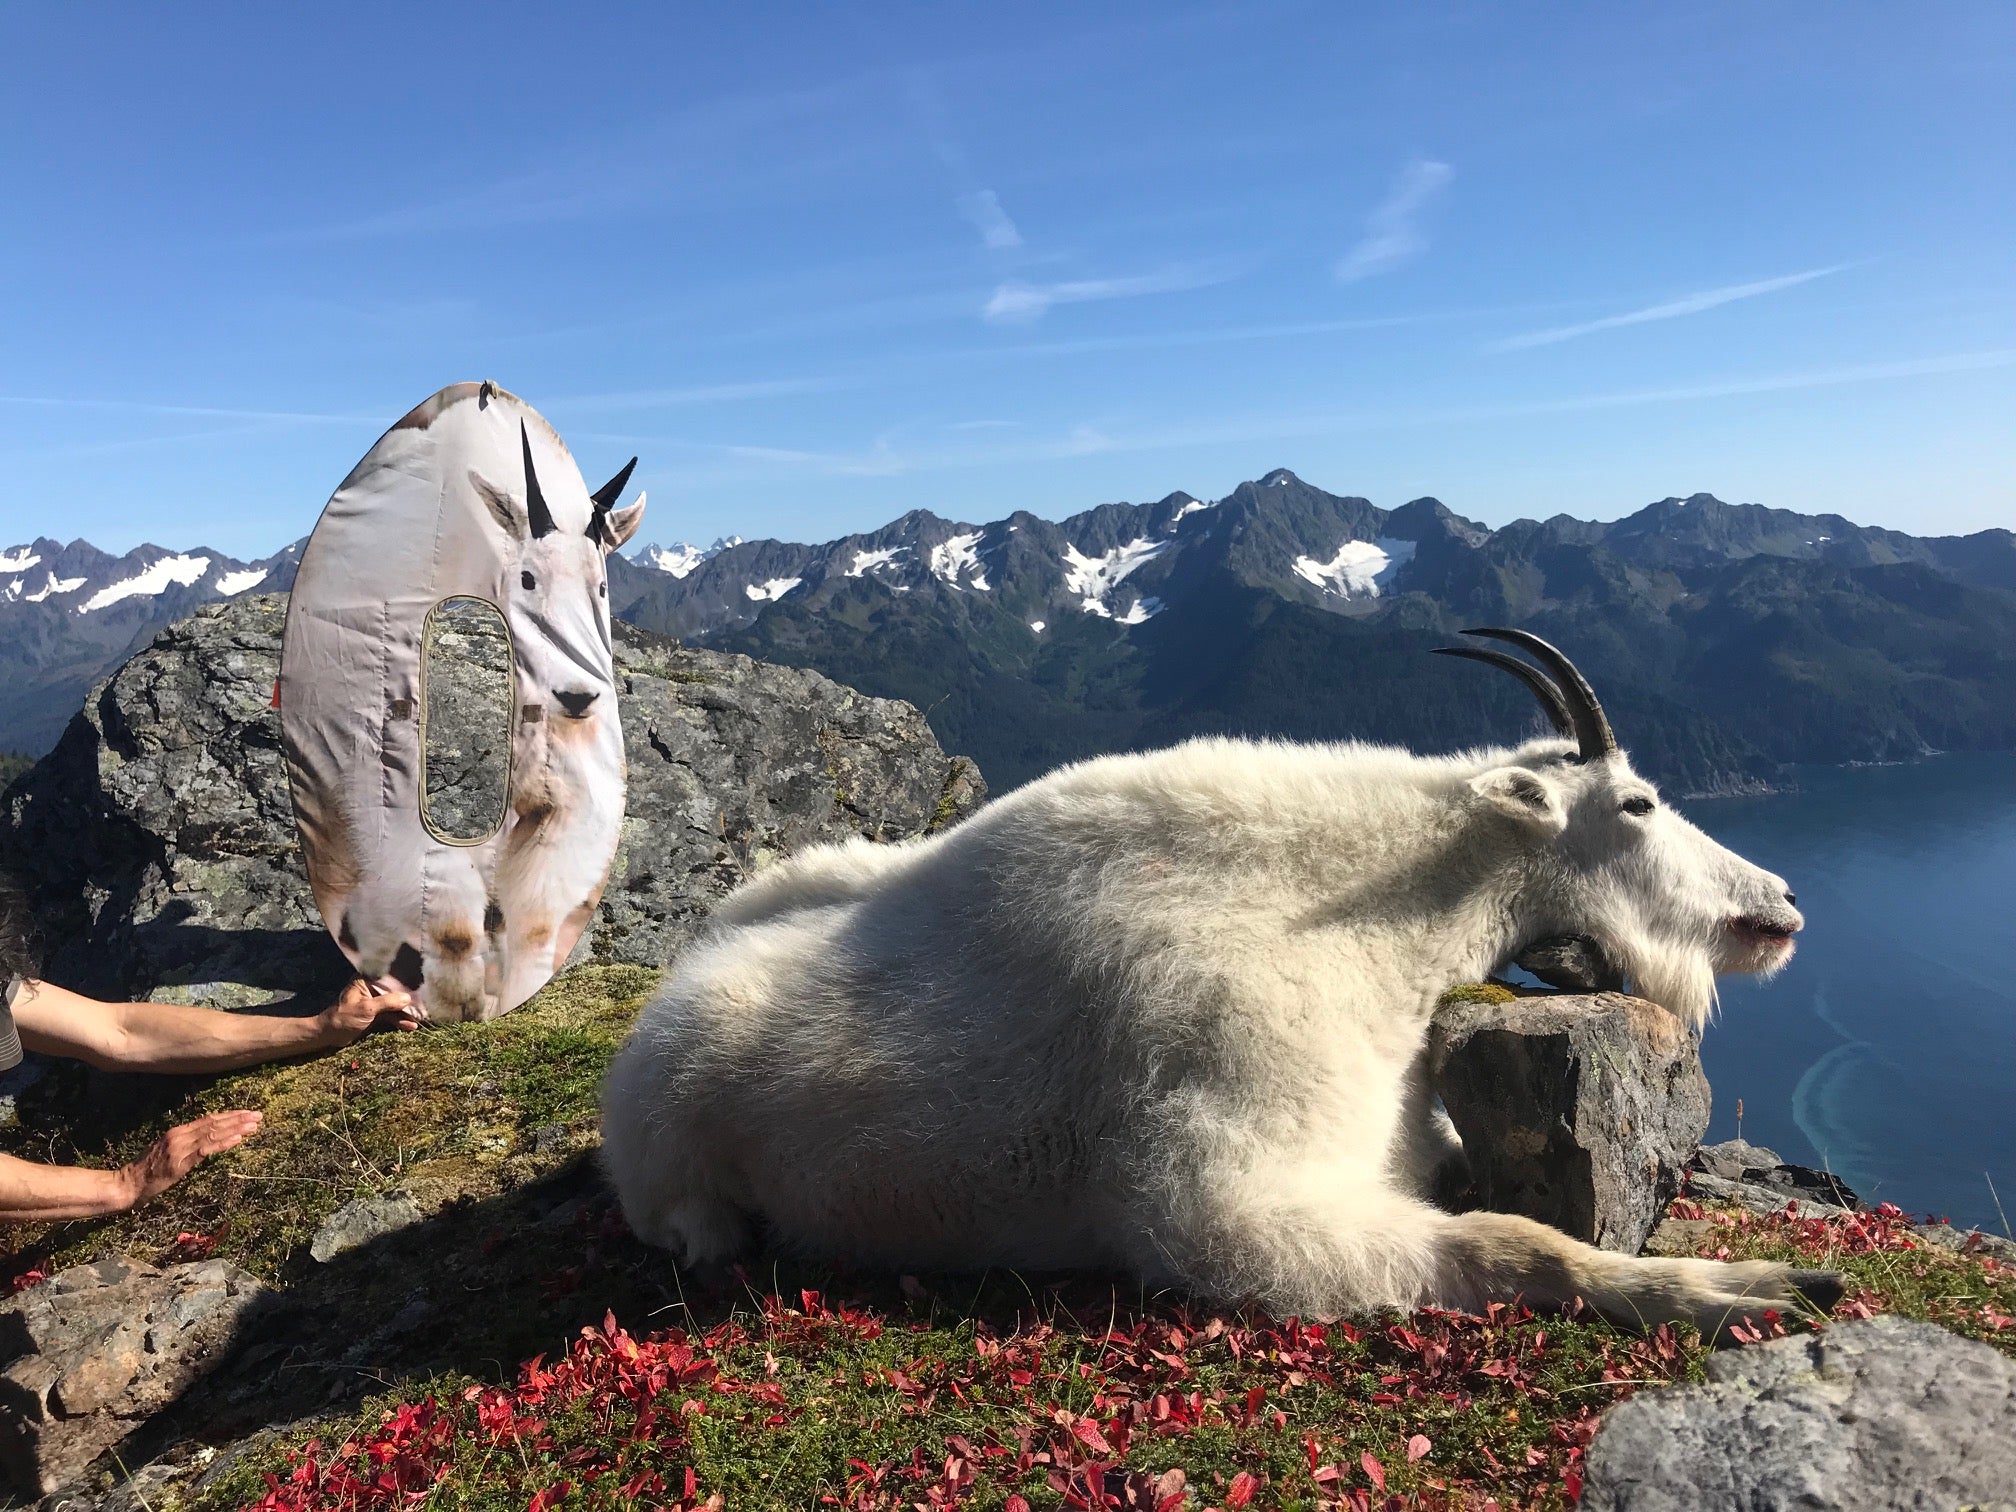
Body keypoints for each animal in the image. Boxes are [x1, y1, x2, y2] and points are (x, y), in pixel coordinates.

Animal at [601, 630, 1841, 1339]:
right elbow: (1516, 1243)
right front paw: (1747, 1288)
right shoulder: (1225, 1206)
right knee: (690, 1225)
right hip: (673, 1163)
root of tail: (674, 993)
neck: (1372, 921)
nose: (1780, 903)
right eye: (1635, 803)